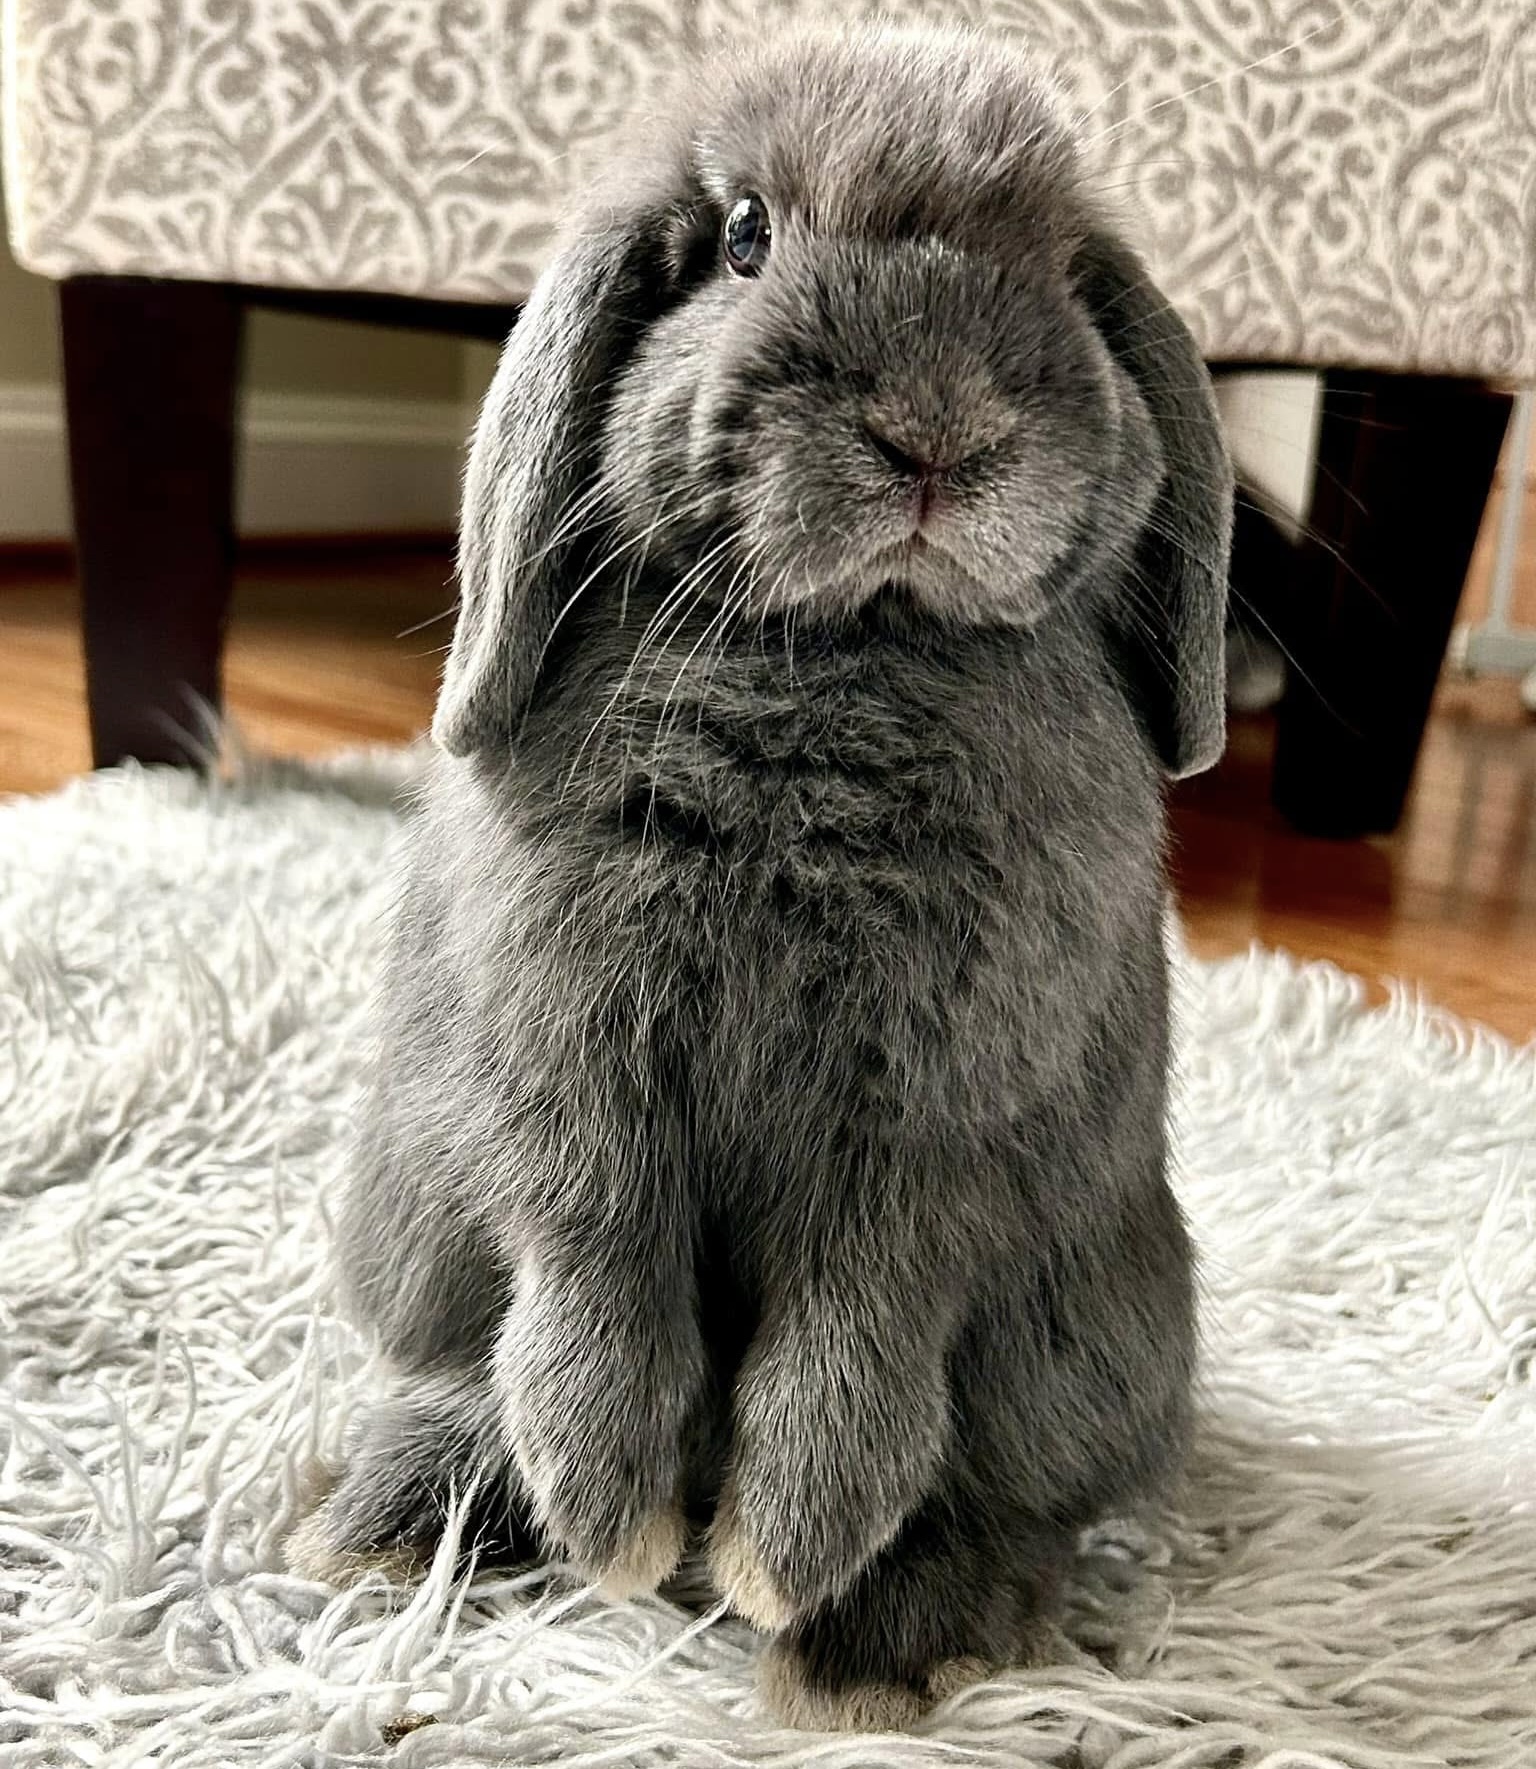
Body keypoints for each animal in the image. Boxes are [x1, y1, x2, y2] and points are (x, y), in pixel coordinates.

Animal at [288, 23, 1231, 1731]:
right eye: (744, 237)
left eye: (1064, 273)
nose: (939, 427)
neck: (844, 648)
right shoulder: (574, 1077)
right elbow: (595, 1269)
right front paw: (616, 1521)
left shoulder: (930, 1139)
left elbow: (855, 1342)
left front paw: (774, 1560)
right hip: (414, 1210)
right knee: (464, 1371)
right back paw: (392, 1524)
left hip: (1088, 1331)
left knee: (1004, 1502)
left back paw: (881, 1646)